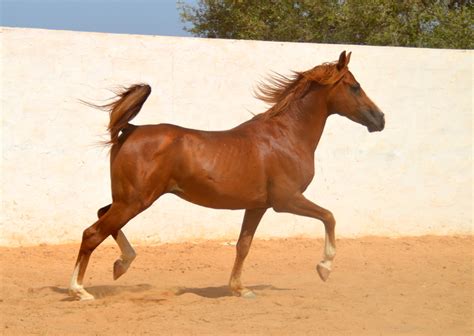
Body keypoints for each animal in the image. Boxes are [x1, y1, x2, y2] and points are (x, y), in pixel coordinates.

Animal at [68, 50, 384, 300]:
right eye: (355, 87)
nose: (380, 119)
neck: (285, 136)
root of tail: (130, 129)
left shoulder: (257, 206)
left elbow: (243, 245)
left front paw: (240, 289)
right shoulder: (287, 200)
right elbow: (329, 216)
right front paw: (324, 268)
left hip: (128, 199)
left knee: (101, 215)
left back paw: (122, 264)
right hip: (135, 201)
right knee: (92, 233)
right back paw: (80, 290)